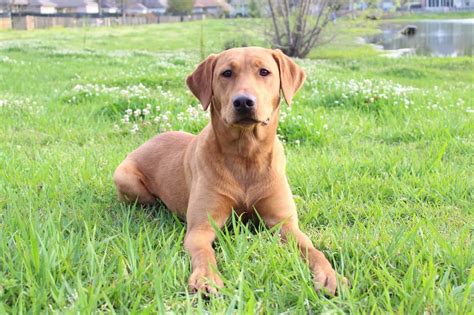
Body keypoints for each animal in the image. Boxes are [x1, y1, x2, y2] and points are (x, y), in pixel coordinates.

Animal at [115, 46, 344, 296]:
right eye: (226, 73)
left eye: (264, 71)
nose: (243, 101)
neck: (246, 156)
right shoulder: (201, 227)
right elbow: (204, 252)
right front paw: (206, 277)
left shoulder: (285, 224)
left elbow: (312, 248)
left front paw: (329, 275)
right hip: (124, 176)